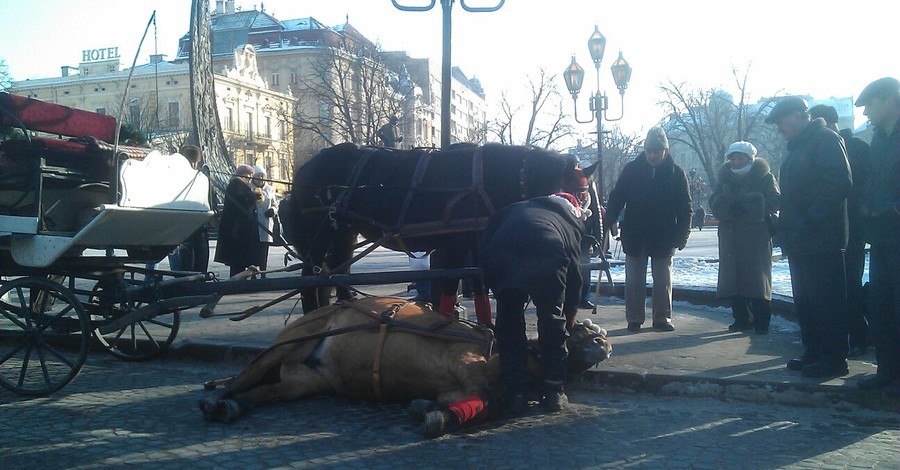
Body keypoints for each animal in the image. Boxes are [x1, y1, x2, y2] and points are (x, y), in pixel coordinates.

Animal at [199, 296, 612, 438]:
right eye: (582, 329)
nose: (604, 340)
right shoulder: (463, 361)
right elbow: (481, 394)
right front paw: (431, 413)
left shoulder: (458, 387)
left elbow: (476, 403)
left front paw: (434, 412)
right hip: (293, 340)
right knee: (247, 375)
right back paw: (218, 400)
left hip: (304, 380)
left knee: (265, 392)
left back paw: (233, 406)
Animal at [280, 143, 592, 324]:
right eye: (567, 193)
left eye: (584, 194)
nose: (584, 238)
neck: (487, 177)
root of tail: (305, 169)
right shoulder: (455, 243)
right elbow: (450, 283)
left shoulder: (473, 243)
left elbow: (477, 285)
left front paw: (485, 325)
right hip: (320, 232)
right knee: (311, 275)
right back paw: (313, 313)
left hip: (343, 232)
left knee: (334, 270)